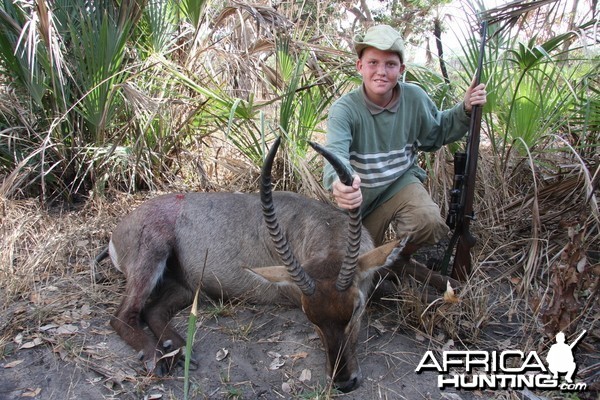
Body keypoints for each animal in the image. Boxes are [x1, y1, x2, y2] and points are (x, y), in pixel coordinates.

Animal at [103, 138, 408, 390]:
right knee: (122, 316)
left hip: (188, 287)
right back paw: (154, 357)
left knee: (152, 311)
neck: (322, 223)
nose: (344, 383)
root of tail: (118, 229)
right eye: (309, 317)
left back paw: (178, 350)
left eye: (356, 308)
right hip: (151, 256)